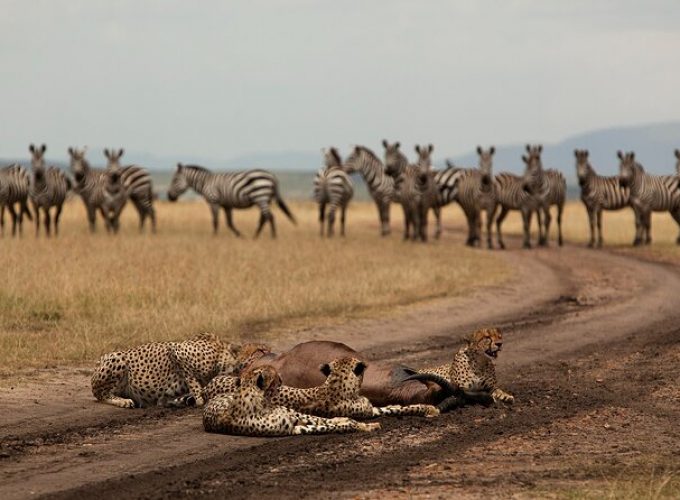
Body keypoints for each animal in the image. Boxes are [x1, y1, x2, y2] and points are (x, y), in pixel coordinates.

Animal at [91, 332, 256, 410]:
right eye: (259, 350)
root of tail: (99, 360)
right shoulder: (177, 351)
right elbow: (192, 380)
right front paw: (199, 398)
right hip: (118, 358)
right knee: (101, 394)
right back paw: (123, 401)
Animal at [202, 366, 382, 436]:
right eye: (274, 377)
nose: (281, 380)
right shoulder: (292, 429)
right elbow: (334, 426)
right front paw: (360, 426)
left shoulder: (293, 418)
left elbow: (329, 422)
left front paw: (364, 425)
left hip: (296, 413)